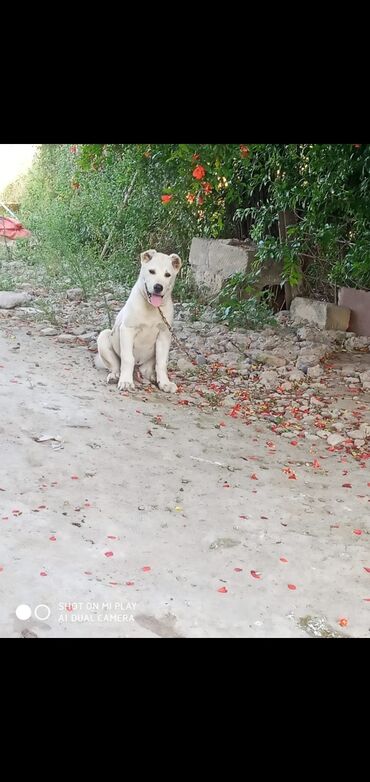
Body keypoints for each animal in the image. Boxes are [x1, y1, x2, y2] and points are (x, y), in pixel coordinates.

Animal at [96, 251, 181, 396]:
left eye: (168, 275)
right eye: (151, 271)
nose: (158, 287)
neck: (152, 307)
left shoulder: (165, 334)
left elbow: (162, 362)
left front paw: (165, 383)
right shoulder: (127, 330)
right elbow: (127, 358)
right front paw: (126, 382)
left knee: (147, 369)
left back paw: (153, 377)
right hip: (104, 337)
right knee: (116, 366)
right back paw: (115, 376)